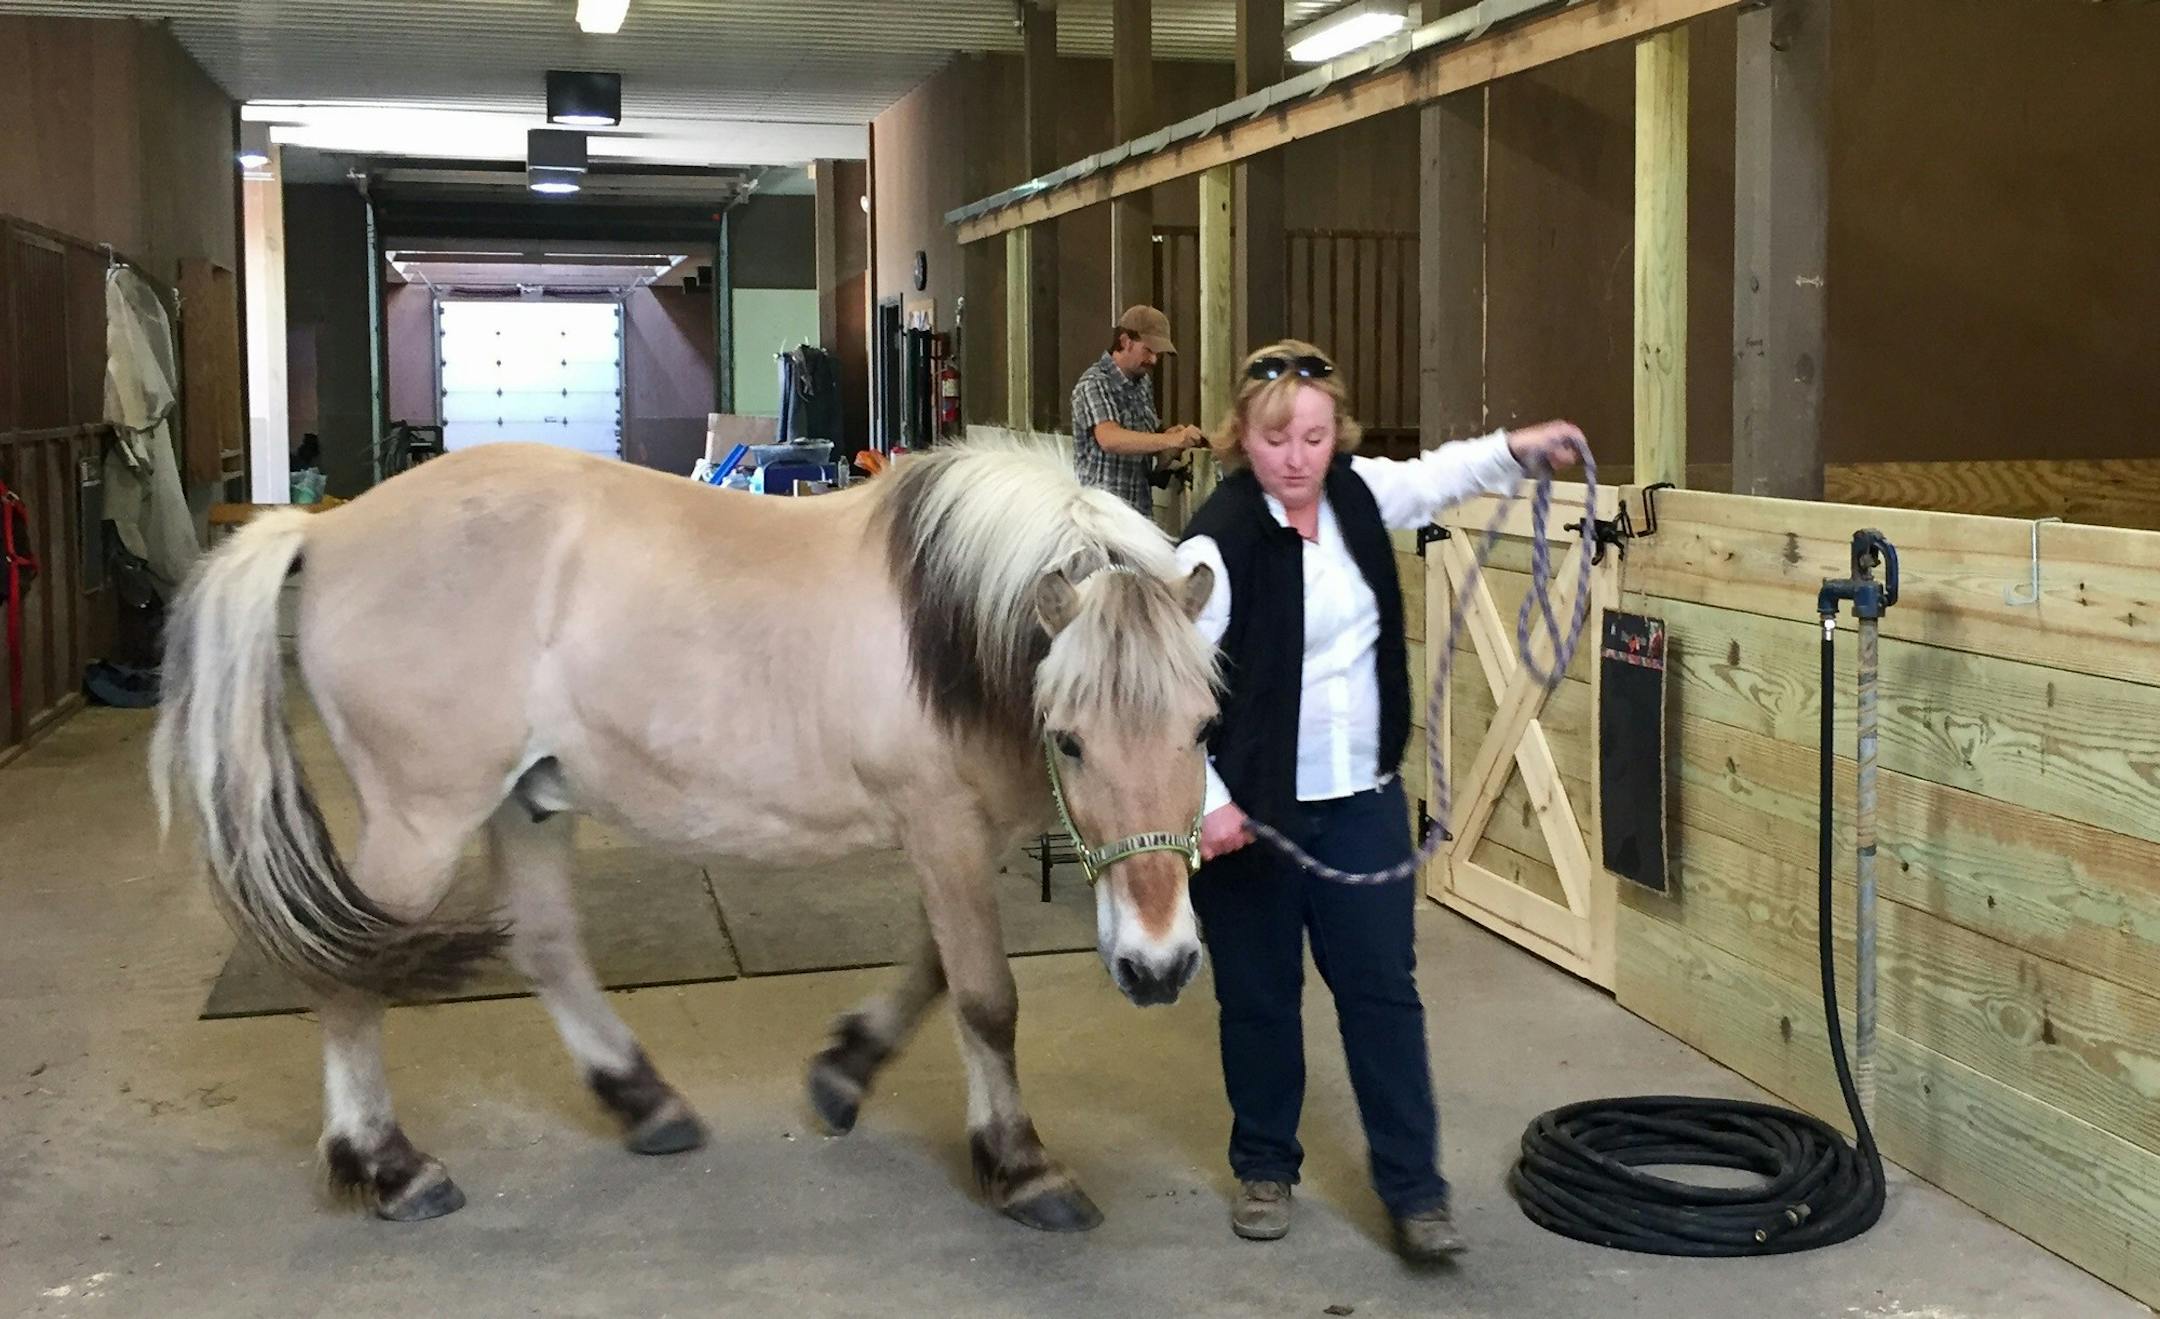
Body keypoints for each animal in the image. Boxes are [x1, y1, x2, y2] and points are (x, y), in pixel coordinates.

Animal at [151, 435, 1221, 1232]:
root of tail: (324, 531)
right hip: (422, 823)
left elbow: (933, 969)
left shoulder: (956, 839)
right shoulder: (945, 829)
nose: (1160, 967)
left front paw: (845, 1070)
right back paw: (389, 1166)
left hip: (522, 801)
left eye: (1204, 727)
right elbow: (986, 997)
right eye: (1069, 738)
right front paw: (1023, 1164)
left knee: (543, 946)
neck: (950, 620)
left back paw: (643, 1100)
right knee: (346, 973)